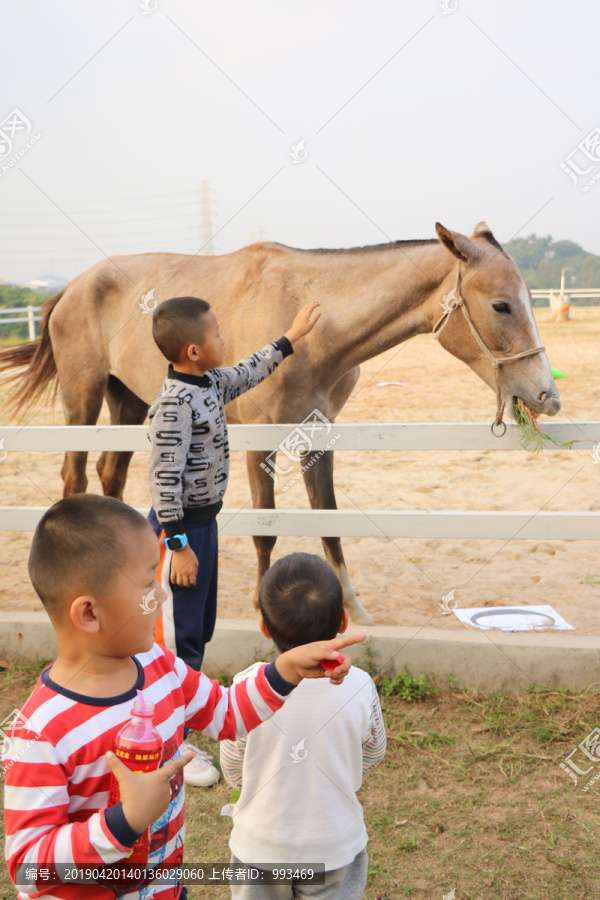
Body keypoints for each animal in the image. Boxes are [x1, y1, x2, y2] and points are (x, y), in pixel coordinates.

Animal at [1, 223, 564, 624]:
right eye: (500, 304)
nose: (547, 395)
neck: (319, 332)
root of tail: (75, 284)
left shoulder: (318, 439)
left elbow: (329, 524)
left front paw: (353, 607)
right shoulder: (259, 443)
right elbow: (265, 530)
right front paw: (260, 604)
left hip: (130, 405)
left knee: (110, 474)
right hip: (83, 400)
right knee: (74, 476)